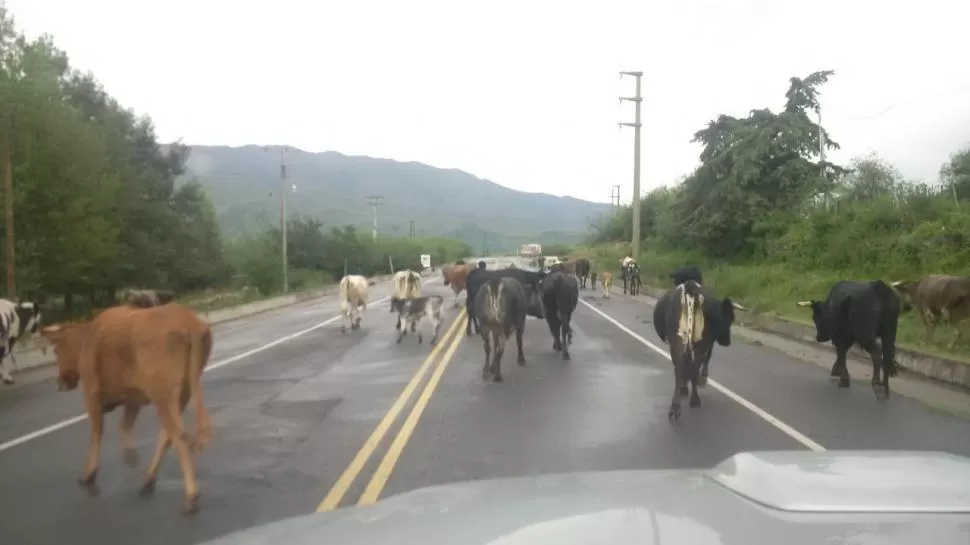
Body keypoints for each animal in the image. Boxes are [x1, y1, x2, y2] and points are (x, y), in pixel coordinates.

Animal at [40, 302, 214, 516]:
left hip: (164, 394)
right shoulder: (133, 397)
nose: (60, 382)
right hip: (184, 392)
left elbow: (96, 433)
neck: (88, 337)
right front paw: (130, 455)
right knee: (167, 435)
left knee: (179, 436)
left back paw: (191, 497)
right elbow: (125, 424)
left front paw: (89, 474)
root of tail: (187, 321)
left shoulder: (91, 393)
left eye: (56, 351)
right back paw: (148, 482)